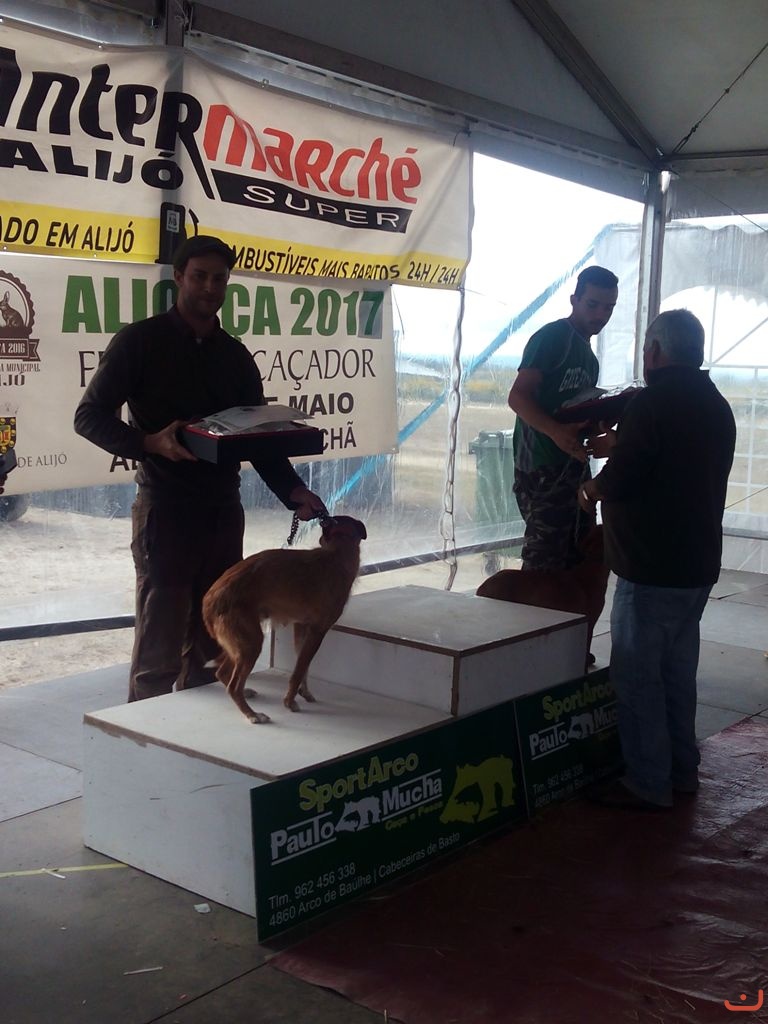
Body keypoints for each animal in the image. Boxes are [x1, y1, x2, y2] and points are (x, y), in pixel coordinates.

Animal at [202, 515, 367, 723]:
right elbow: (298, 671)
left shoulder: (301, 627)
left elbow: (303, 667)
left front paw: (304, 693)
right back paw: (252, 714)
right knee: (233, 686)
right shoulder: (318, 631)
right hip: (252, 644)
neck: (338, 550)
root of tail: (210, 600)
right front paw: (289, 701)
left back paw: (246, 695)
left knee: (223, 673)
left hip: (241, 645)